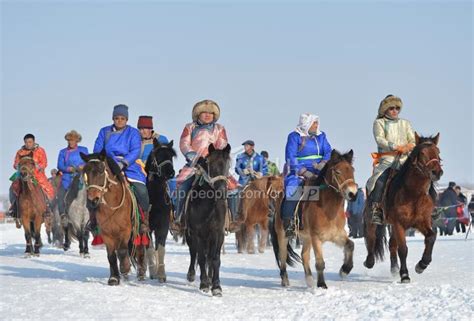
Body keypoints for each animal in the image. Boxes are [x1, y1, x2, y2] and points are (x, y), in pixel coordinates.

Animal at [81, 150, 146, 284]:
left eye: (101, 170)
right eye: (85, 172)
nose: (92, 200)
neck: (112, 208)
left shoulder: (125, 231)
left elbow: (122, 251)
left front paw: (125, 268)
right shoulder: (107, 234)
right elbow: (111, 255)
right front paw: (114, 277)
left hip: (139, 230)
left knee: (140, 248)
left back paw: (141, 273)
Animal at [185, 142, 231, 296]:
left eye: (228, 165)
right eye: (211, 164)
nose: (221, 192)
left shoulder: (218, 233)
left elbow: (215, 259)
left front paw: (216, 286)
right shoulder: (197, 233)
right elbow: (200, 258)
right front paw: (204, 284)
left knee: (209, 257)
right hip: (190, 235)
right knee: (194, 253)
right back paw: (192, 275)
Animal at [272, 149, 358, 288]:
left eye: (352, 170)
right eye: (337, 171)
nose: (353, 194)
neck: (327, 210)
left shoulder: (337, 235)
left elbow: (350, 245)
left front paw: (345, 269)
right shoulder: (316, 238)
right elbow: (320, 263)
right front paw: (322, 284)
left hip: (307, 238)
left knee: (304, 255)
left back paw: (309, 280)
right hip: (283, 235)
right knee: (283, 256)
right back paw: (285, 281)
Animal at [362, 132, 444, 282]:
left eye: (437, 151)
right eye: (422, 153)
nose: (437, 172)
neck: (413, 194)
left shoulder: (421, 222)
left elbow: (431, 237)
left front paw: (421, 265)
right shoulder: (399, 223)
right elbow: (403, 249)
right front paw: (405, 275)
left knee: (391, 244)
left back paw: (394, 269)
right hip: (372, 220)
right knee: (371, 239)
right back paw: (369, 262)